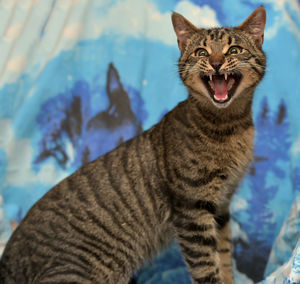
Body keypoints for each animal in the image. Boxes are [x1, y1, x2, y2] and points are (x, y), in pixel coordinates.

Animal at [0, 6, 268, 284]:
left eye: (234, 50)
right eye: (201, 52)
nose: (216, 63)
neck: (230, 127)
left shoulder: (222, 206)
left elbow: (224, 258)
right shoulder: (192, 209)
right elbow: (207, 268)